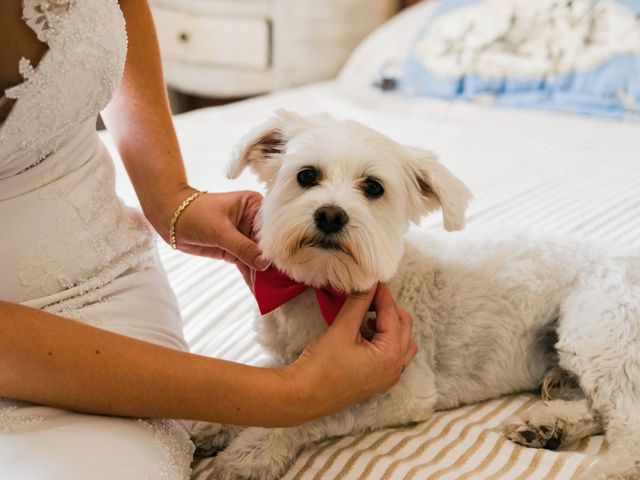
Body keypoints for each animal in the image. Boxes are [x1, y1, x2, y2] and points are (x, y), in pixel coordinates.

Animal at [195, 109, 640, 480]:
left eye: (373, 187)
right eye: (306, 176)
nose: (330, 215)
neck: (324, 288)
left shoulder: (400, 390)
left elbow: (309, 410)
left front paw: (252, 451)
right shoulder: (291, 362)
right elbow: (263, 384)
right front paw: (211, 422)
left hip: (599, 336)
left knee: (628, 424)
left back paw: (607, 469)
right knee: (597, 409)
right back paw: (549, 427)